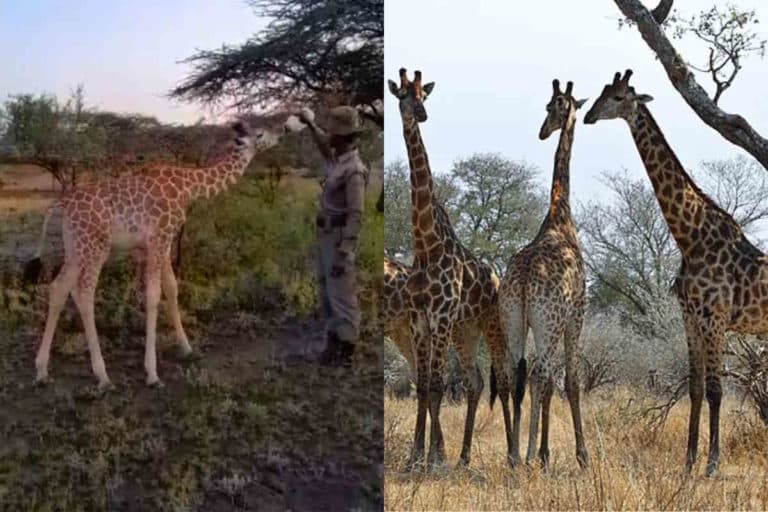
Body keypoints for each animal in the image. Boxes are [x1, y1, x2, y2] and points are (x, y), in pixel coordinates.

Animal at [28, 118, 298, 389]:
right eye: (260, 133)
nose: (282, 132)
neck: (189, 186)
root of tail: (62, 204)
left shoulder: (162, 242)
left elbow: (172, 287)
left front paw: (186, 347)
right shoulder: (159, 239)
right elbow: (153, 296)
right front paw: (152, 373)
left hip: (75, 248)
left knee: (58, 288)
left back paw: (41, 370)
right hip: (96, 247)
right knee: (84, 294)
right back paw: (102, 376)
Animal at [387, 68, 513, 468]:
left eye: (424, 95)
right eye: (403, 96)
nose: (421, 115)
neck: (426, 244)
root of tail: (497, 277)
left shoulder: (439, 316)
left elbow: (438, 384)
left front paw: (431, 459)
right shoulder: (419, 319)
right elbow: (424, 385)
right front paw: (416, 456)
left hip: (491, 324)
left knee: (504, 382)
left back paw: (511, 454)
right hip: (464, 329)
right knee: (476, 382)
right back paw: (464, 457)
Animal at [584, 69, 768, 476]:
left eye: (618, 96)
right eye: (601, 92)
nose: (588, 116)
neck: (689, 236)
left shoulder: (714, 316)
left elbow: (716, 389)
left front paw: (712, 464)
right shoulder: (689, 316)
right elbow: (695, 388)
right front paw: (688, 461)